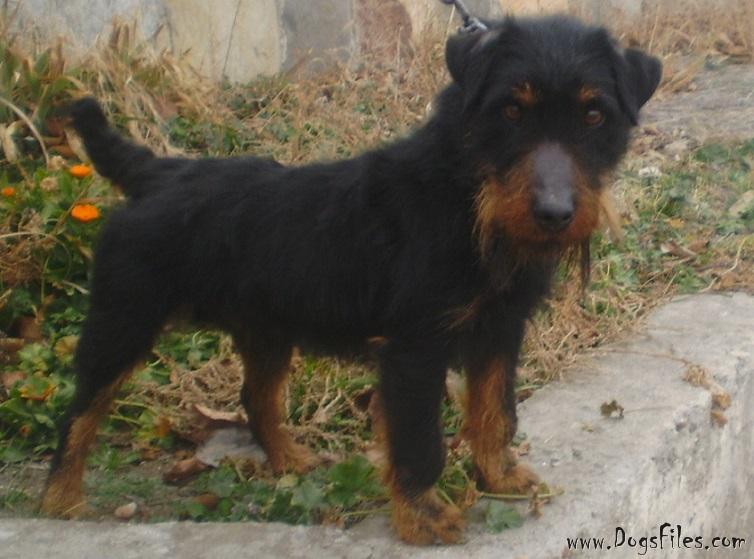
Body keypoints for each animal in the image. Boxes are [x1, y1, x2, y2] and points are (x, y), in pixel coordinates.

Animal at [41, 15, 661, 545]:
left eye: (594, 116)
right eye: (510, 111)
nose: (555, 214)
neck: (466, 197)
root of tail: (155, 173)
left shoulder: (499, 332)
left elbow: (495, 411)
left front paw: (499, 477)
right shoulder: (415, 350)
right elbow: (419, 440)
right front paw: (423, 516)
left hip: (266, 331)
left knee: (256, 397)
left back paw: (291, 462)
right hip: (122, 323)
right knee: (78, 415)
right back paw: (61, 503)